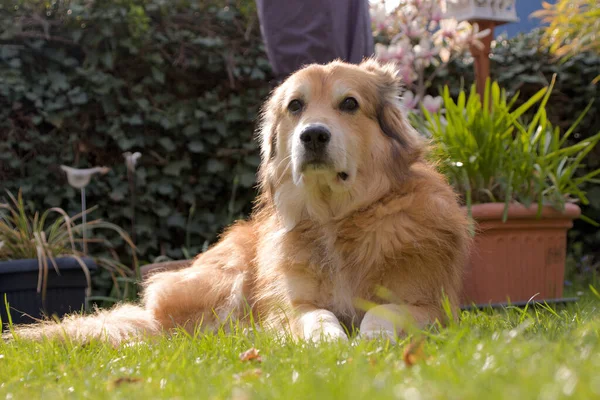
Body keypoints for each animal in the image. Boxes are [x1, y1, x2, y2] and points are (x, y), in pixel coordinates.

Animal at [5, 58, 474, 344]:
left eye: (349, 103)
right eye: (296, 106)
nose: (313, 136)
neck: (337, 219)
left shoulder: (434, 306)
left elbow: (385, 312)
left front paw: (372, 339)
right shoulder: (293, 303)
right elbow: (314, 317)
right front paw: (326, 340)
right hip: (225, 278)